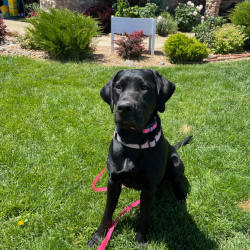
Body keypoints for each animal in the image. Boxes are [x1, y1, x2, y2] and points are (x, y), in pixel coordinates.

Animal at [90, 69, 191, 247]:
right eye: (118, 87)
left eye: (144, 87)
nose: (124, 108)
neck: (133, 141)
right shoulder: (113, 181)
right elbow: (108, 211)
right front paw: (99, 235)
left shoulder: (148, 187)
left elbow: (144, 216)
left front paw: (141, 240)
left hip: (176, 162)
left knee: (176, 180)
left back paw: (179, 195)